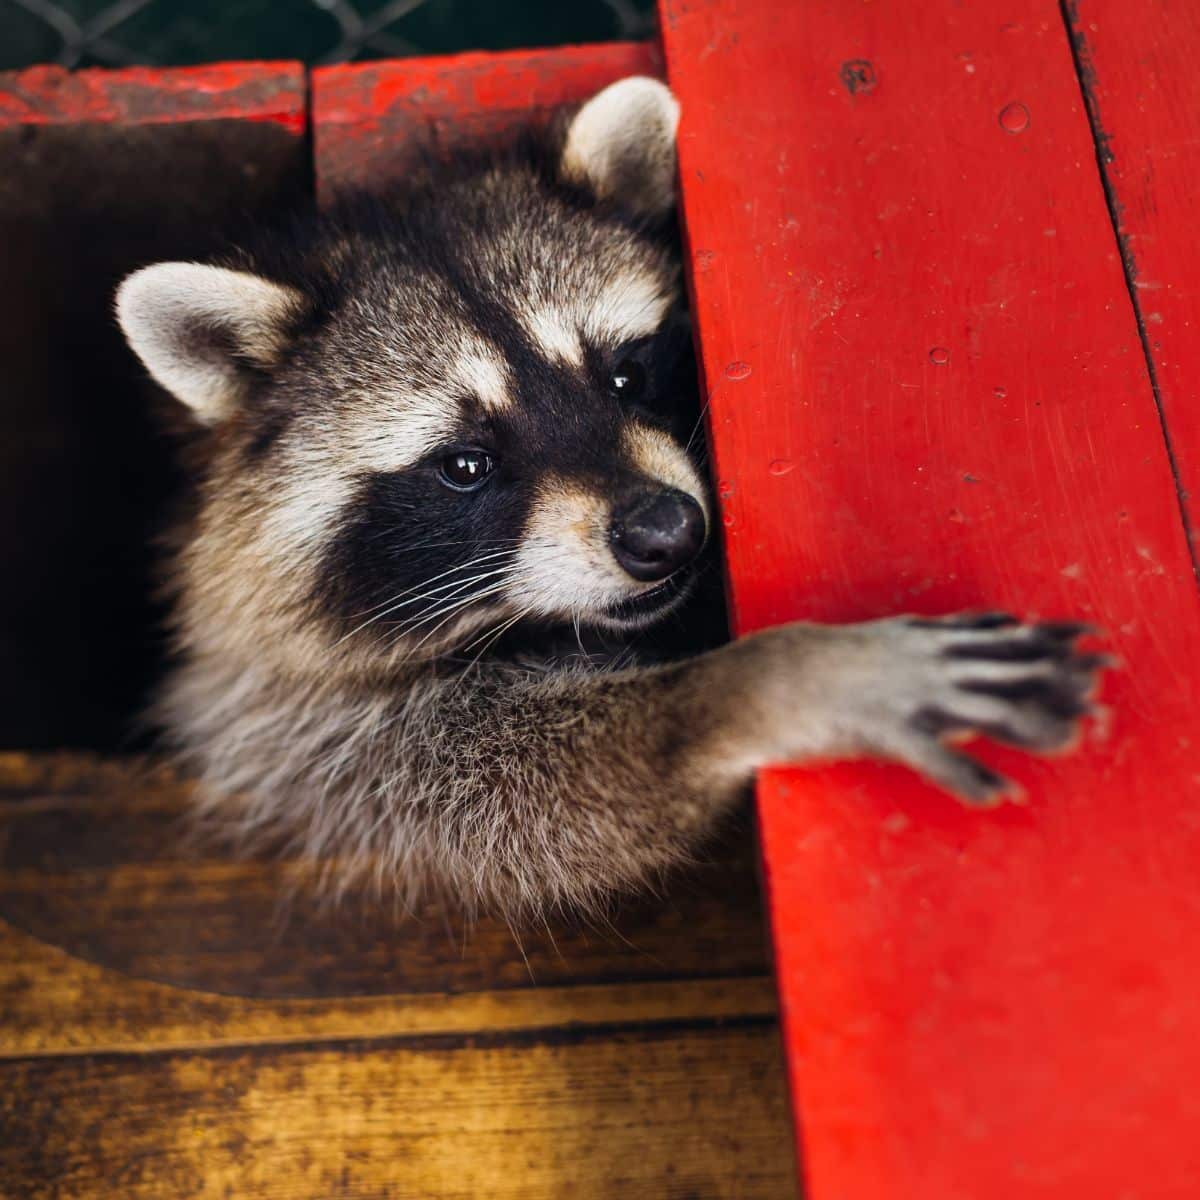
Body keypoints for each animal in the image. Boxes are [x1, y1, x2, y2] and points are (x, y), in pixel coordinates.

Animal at [116, 77, 1106, 917]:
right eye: (465, 465)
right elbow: (502, 797)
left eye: (626, 375)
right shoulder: (288, 720)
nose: (666, 532)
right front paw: (758, 685)